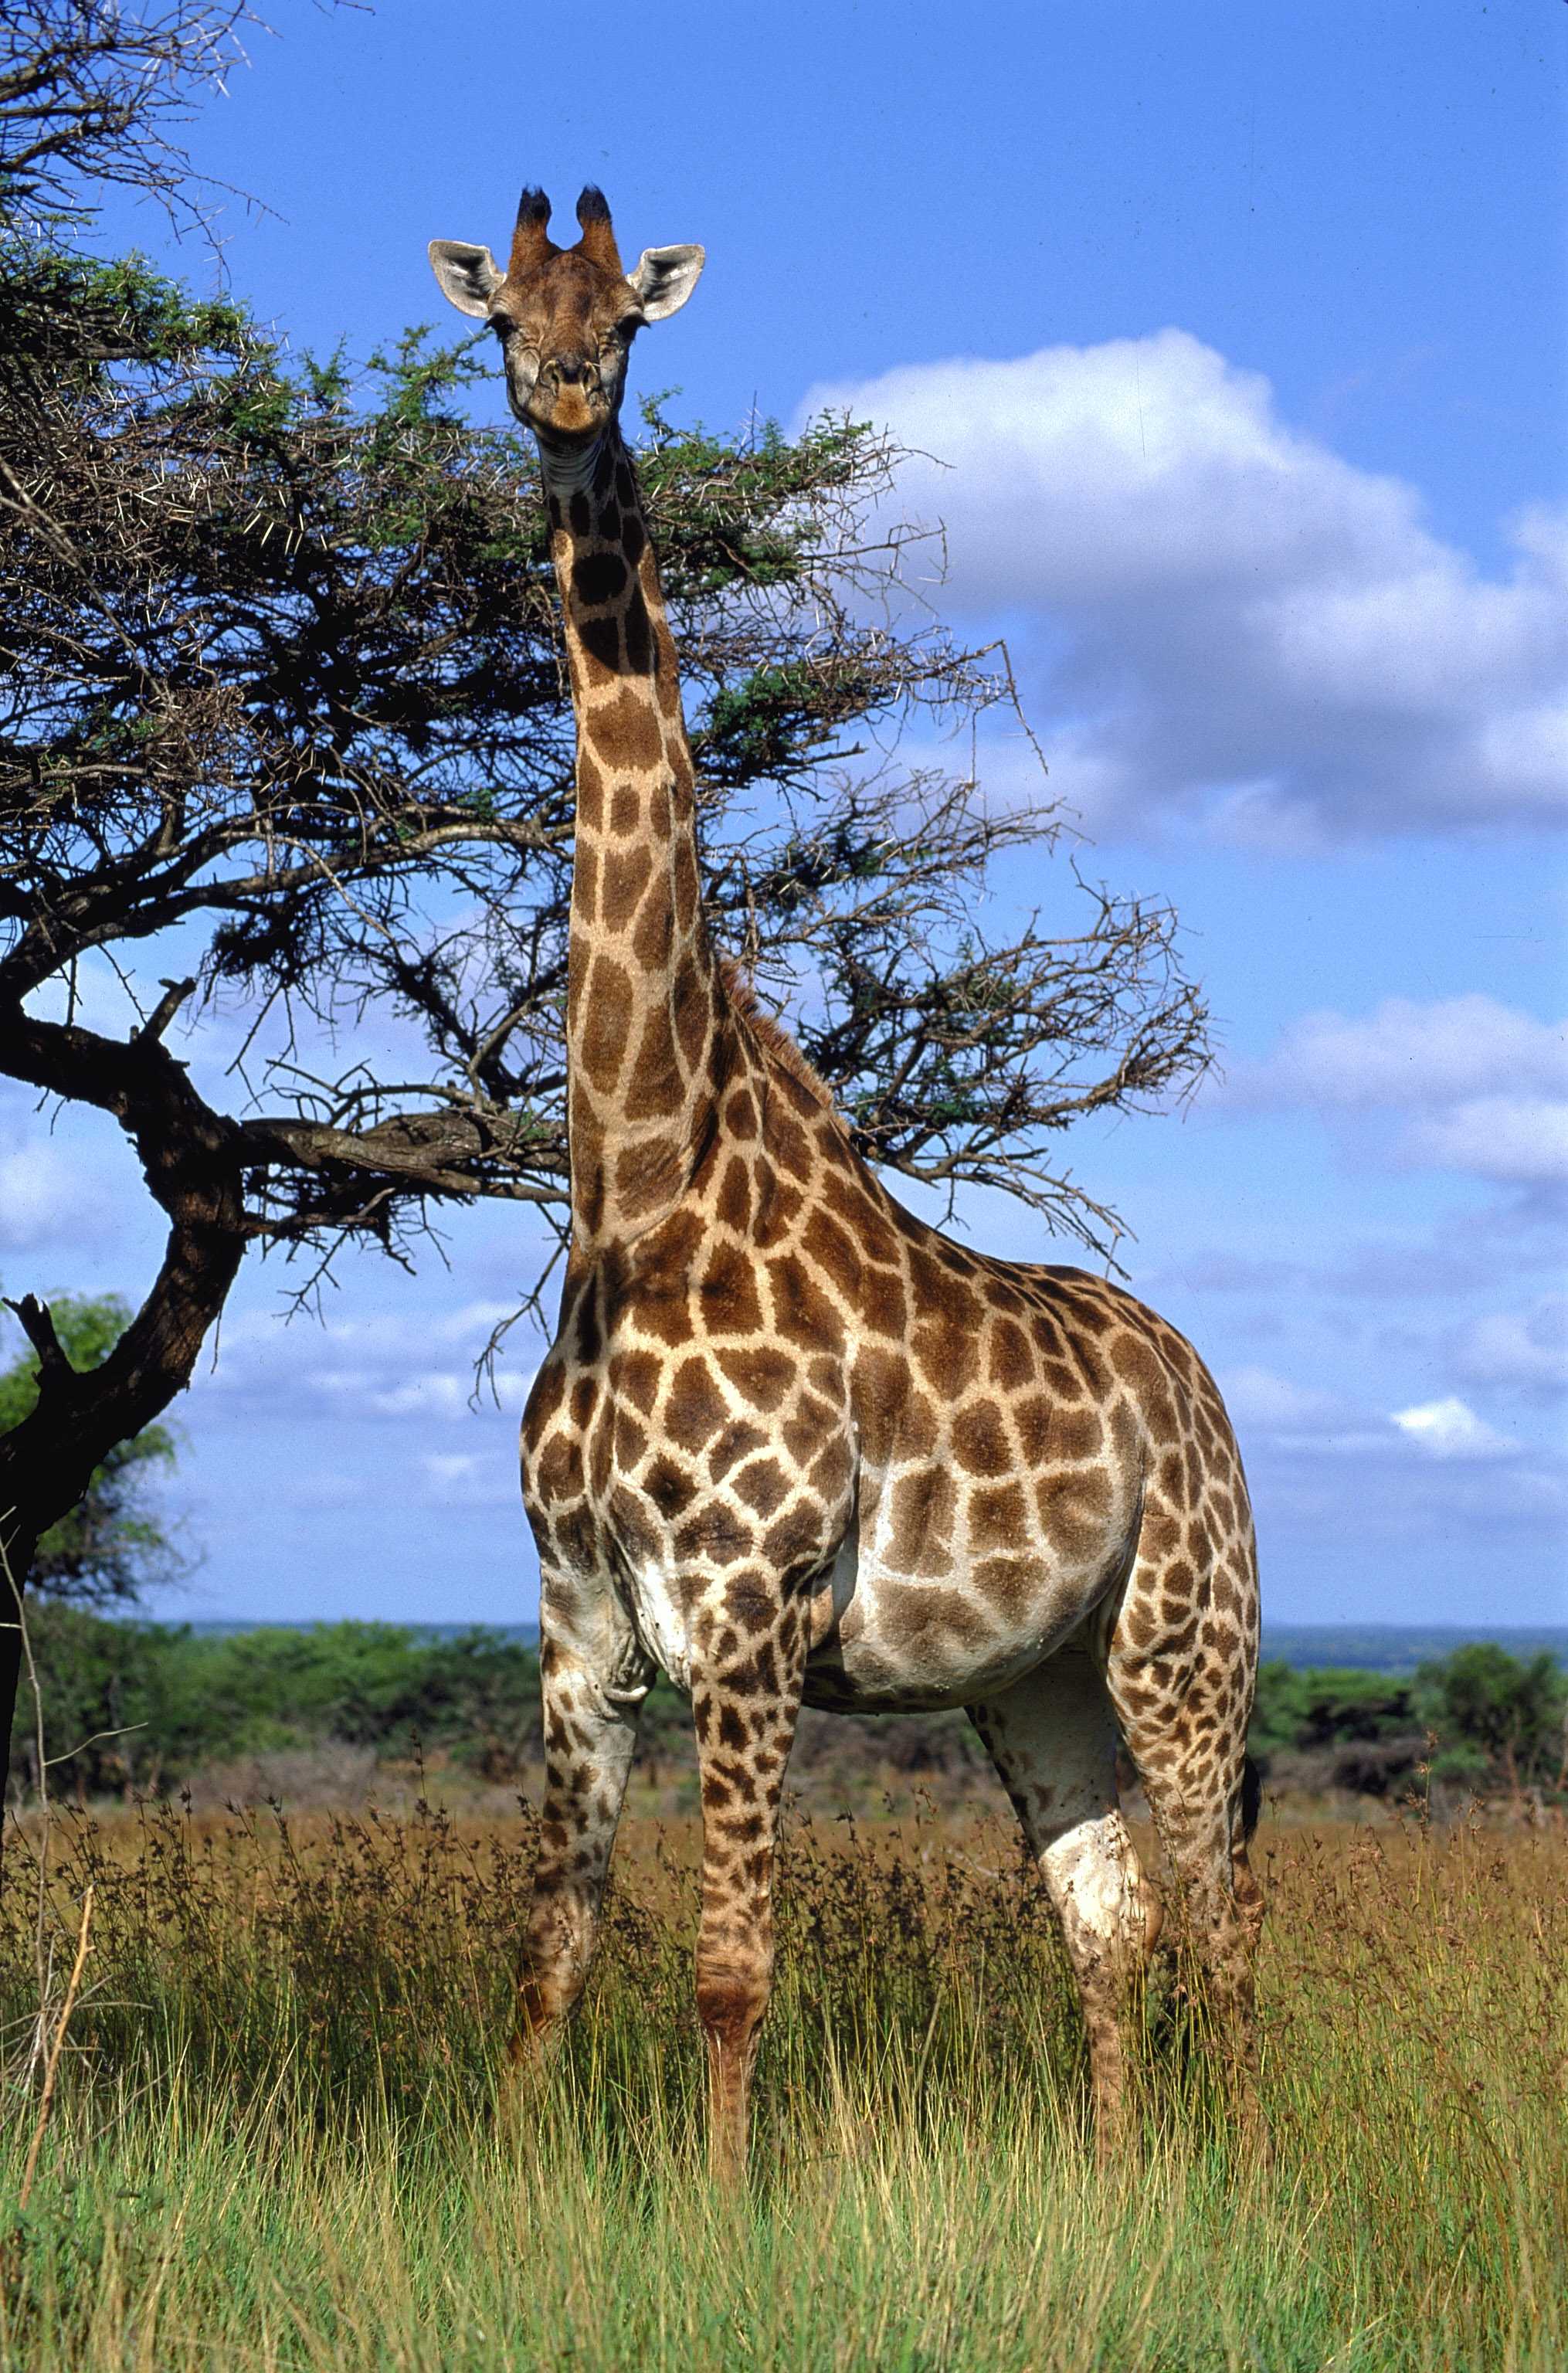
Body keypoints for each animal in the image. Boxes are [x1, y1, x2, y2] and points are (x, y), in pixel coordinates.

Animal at [429, 185, 1266, 2179]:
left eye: (624, 319)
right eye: (501, 313)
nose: (562, 397)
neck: (638, 1192)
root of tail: (1195, 1377)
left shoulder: (748, 1617)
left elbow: (732, 1968)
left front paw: (721, 2215)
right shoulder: (577, 1623)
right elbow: (551, 1950)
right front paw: (504, 2192)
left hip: (1187, 1638)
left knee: (1225, 1926)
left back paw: (1253, 2184)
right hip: (1034, 1676)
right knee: (1111, 1914)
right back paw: (1116, 2189)